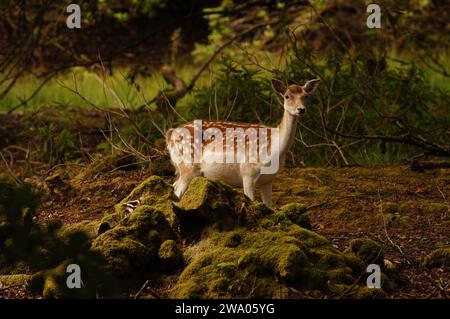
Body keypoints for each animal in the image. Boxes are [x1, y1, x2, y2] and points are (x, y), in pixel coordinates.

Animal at [166, 78, 320, 208]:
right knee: (178, 190)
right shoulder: (248, 172)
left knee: (174, 186)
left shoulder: (268, 180)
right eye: (287, 96)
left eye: (306, 96)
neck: (274, 150)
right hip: (188, 165)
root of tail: (170, 134)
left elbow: (269, 206)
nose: (301, 109)